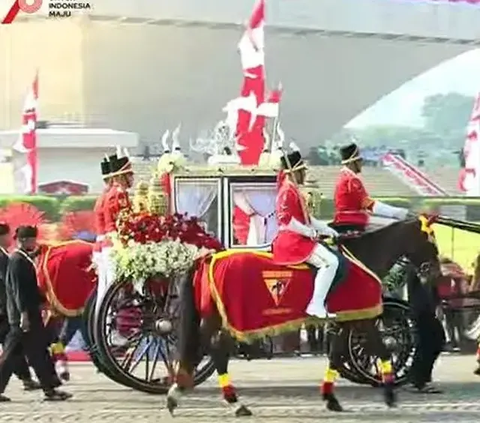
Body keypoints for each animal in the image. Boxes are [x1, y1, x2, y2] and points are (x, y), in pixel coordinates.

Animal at [168, 219, 438, 418]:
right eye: (430, 241)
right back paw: (219, 399)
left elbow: (336, 355)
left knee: (208, 350)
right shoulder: (364, 318)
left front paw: (330, 398)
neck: (361, 258)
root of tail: (208, 258)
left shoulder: (345, 320)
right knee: (210, 350)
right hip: (220, 319)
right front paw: (390, 394)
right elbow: (382, 349)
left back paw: (185, 392)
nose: (434, 271)